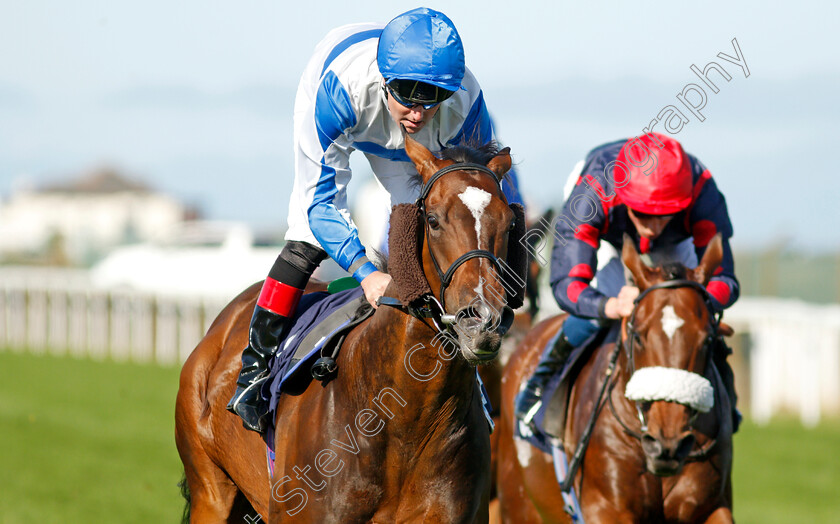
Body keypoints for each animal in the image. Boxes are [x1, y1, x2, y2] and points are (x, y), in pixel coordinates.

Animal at [496, 235, 732, 520]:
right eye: (638, 337)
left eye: (708, 339)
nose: (669, 443)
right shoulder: (605, 507)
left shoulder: (713, 505)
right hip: (516, 500)